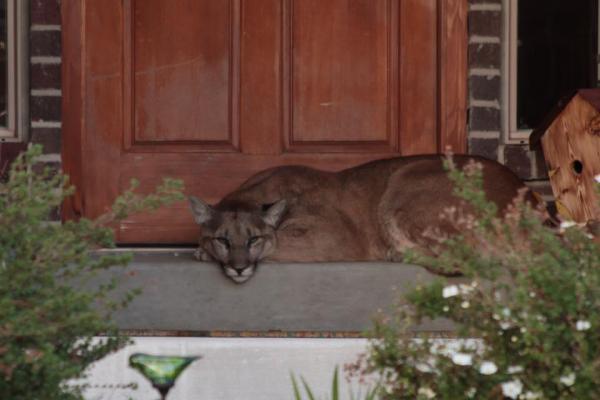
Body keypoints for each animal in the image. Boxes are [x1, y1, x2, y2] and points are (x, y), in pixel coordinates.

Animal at [189, 155, 536, 282]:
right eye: (223, 239)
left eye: (253, 239)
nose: (238, 267)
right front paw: (203, 249)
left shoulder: (330, 238)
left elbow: (276, 245)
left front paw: (202, 253)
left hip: (404, 182)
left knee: (462, 260)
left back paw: (397, 253)